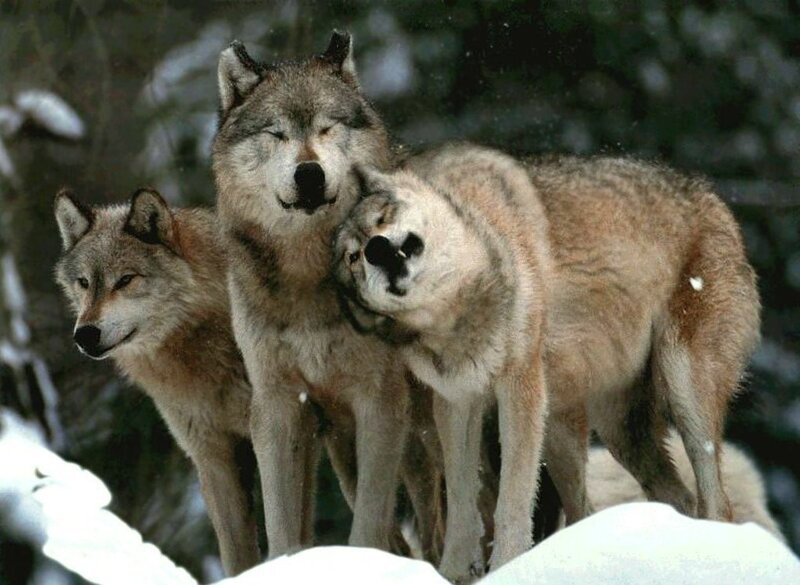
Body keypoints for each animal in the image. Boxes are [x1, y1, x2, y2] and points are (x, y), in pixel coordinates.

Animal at [212, 31, 442, 560]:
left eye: (327, 127)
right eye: (276, 134)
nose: (309, 174)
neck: (307, 277)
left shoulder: (380, 402)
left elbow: (368, 528)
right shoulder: (277, 405)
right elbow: (281, 528)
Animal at [333, 144, 760, 580]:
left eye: (383, 218)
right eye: (352, 258)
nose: (377, 249)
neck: (461, 308)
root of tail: (714, 200)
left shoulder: (520, 387)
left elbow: (512, 501)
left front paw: (505, 567)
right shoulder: (457, 403)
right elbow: (462, 504)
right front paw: (451, 574)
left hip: (680, 393)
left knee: (717, 503)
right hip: (600, 432)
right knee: (663, 501)